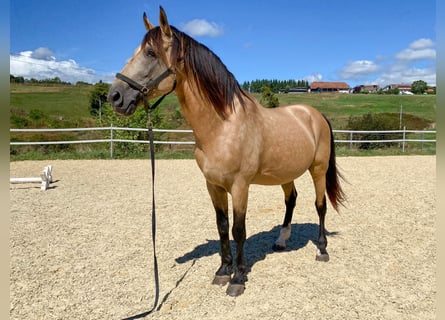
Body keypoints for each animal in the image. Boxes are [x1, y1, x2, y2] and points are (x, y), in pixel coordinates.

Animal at [107, 6, 344, 298]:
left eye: (150, 53)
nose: (115, 96)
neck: (223, 126)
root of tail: (315, 115)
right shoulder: (213, 186)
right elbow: (222, 226)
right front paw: (222, 271)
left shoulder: (240, 186)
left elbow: (238, 229)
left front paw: (238, 278)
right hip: (285, 173)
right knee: (291, 200)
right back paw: (281, 241)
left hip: (318, 169)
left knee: (320, 206)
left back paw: (321, 250)